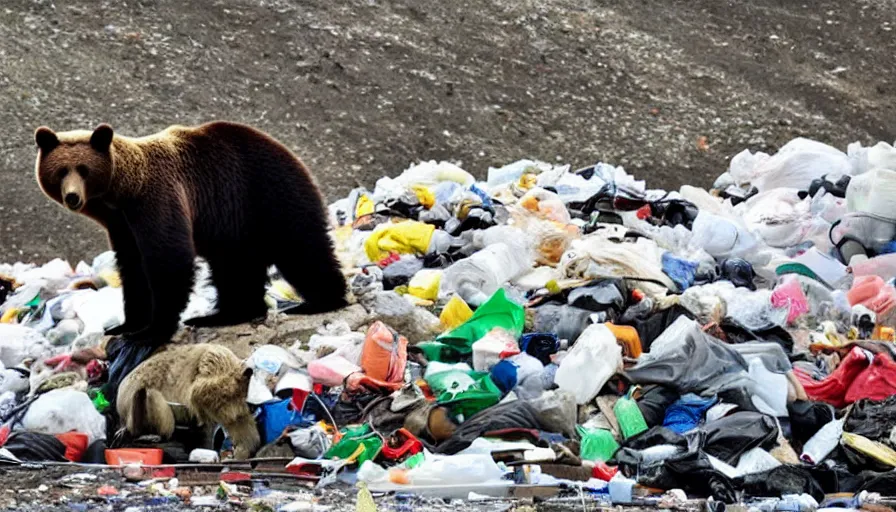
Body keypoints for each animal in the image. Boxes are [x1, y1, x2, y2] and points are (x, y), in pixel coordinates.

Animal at [31, 120, 348, 346]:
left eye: (83, 169)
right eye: (61, 170)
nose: (73, 197)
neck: (120, 196)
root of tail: (292, 154)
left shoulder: (157, 199)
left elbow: (168, 258)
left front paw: (152, 330)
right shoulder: (121, 225)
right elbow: (132, 268)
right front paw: (125, 325)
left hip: (268, 196)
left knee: (301, 248)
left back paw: (320, 301)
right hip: (235, 226)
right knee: (235, 269)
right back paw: (223, 315)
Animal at [117, 344, 260, 460]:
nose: (254, 408)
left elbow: (236, 419)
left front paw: (245, 448)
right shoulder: (209, 363)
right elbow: (202, 392)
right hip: (131, 405)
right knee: (149, 396)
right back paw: (154, 434)